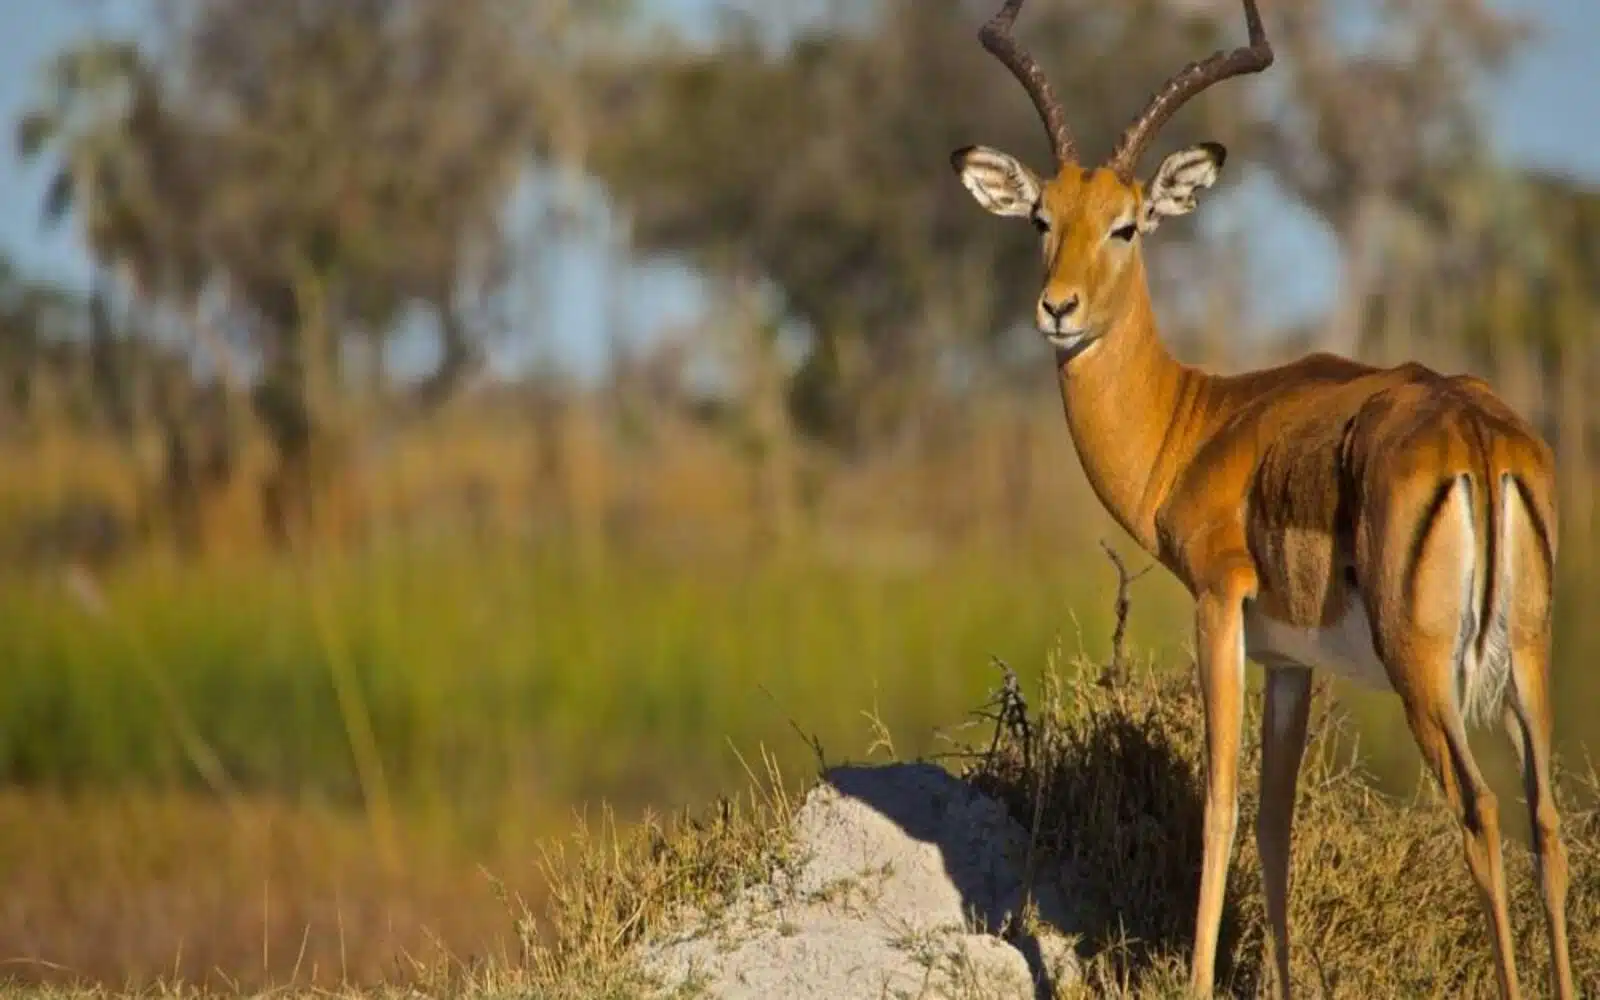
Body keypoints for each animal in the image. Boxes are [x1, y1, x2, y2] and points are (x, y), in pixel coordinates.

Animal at [949, 1, 1574, 997]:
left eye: (1128, 225)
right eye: (1044, 216)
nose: (1059, 309)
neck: (1199, 422)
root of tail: (1477, 436)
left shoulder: (1218, 607)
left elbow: (1220, 806)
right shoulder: (1289, 659)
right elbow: (1277, 824)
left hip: (1422, 667)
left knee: (1480, 812)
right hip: (1528, 654)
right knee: (1545, 822)